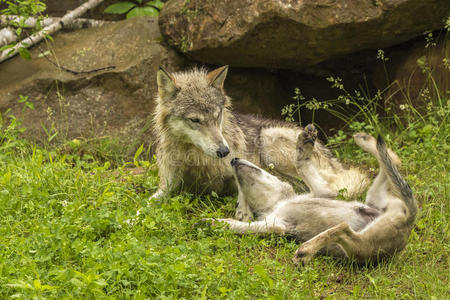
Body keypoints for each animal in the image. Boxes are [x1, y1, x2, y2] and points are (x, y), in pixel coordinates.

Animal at [151, 65, 370, 213]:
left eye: (217, 116)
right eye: (195, 120)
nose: (224, 151)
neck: (195, 159)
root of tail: (336, 161)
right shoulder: (167, 186)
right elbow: (148, 202)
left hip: (269, 139)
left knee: (325, 188)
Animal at [209, 131, 416, 264]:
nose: (233, 159)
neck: (277, 204)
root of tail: (409, 220)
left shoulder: (321, 192)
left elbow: (302, 165)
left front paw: (303, 146)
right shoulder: (275, 225)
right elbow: (242, 226)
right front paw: (218, 221)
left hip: (366, 231)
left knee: (391, 163)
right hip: (365, 234)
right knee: (343, 228)